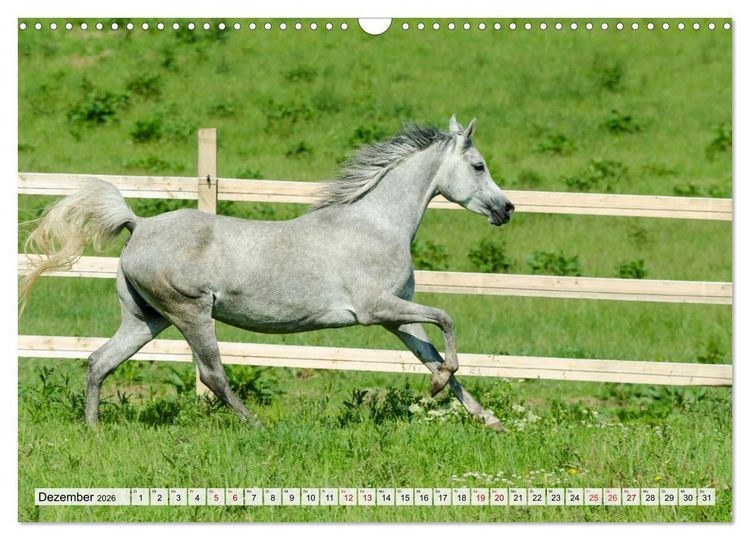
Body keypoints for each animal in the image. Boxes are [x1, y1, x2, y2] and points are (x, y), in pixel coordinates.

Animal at [20, 115, 515, 431]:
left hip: (146, 319)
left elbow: (431, 353)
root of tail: (138, 225)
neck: (375, 223)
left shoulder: (398, 316)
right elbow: (447, 320)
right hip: (191, 313)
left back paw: (94, 431)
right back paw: (256, 426)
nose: (506, 209)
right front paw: (441, 385)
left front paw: (486, 418)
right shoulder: (377, 309)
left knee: (99, 361)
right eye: (479, 166)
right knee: (212, 375)